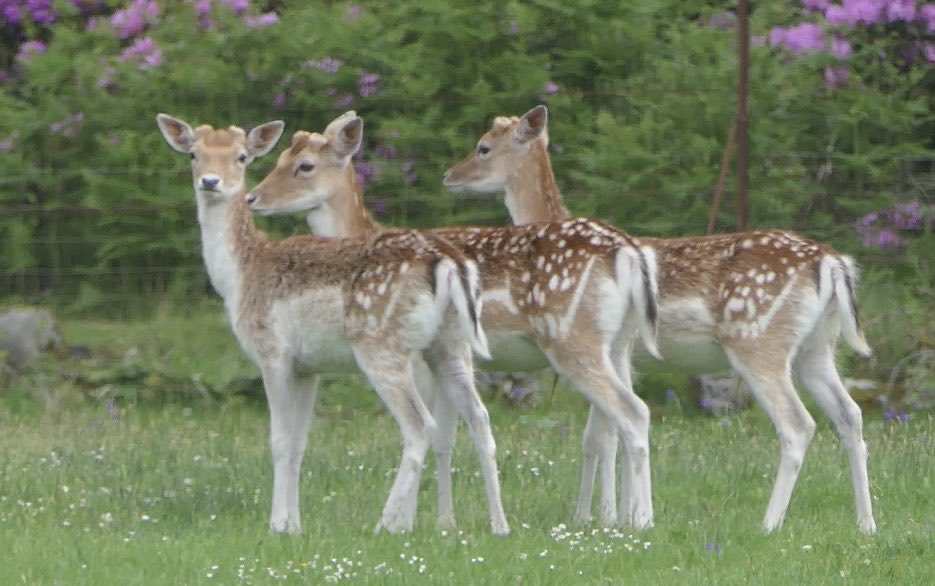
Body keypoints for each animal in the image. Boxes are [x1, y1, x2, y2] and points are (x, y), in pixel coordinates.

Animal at [155, 114, 510, 536]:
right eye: (194, 154)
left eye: (242, 157)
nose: (211, 182)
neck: (239, 278)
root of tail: (448, 263)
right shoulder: (308, 367)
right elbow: (299, 443)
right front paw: (294, 526)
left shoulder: (272, 351)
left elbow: (279, 439)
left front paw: (276, 525)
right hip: (449, 344)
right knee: (480, 418)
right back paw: (499, 525)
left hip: (381, 344)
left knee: (420, 425)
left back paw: (387, 523)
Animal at [244, 112, 664, 530]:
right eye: (279, 158)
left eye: (305, 166)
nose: (252, 198)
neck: (362, 234)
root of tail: (628, 252)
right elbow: (451, 433)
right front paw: (445, 521)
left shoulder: (422, 358)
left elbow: (436, 433)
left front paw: (413, 520)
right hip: (619, 344)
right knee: (616, 422)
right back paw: (623, 516)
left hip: (575, 338)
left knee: (621, 417)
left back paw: (627, 518)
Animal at [443, 104, 877, 535]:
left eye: (483, 147)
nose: (450, 176)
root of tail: (834, 264)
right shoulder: (623, 354)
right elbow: (605, 435)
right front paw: (616, 514)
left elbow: (600, 437)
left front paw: (600, 516)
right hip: (816, 347)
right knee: (851, 415)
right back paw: (865, 523)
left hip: (758, 340)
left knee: (797, 424)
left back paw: (768, 524)